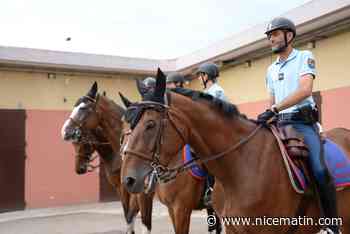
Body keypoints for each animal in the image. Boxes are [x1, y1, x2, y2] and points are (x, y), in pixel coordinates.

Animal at [60, 81, 154, 233]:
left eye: (83, 108)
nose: (64, 131)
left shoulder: (130, 190)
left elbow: (133, 217)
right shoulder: (120, 189)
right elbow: (129, 216)